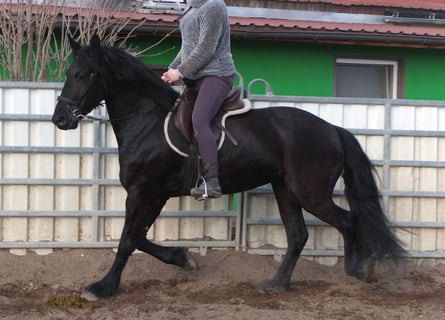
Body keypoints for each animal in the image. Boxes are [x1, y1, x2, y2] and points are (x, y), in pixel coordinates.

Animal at [50, 35, 404, 300]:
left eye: (85, 74)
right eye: (68, 73)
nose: (60, 119)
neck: (147, 121)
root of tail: (332, 129)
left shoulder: (143, 192)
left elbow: (128, 240)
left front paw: (103, 288)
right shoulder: (154, 194)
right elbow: (139, 238)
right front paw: (183, 259)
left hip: (310, 194)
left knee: (347, 220)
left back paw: (354, 271)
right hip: (285, 190)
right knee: (298, 235)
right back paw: (277, 284)